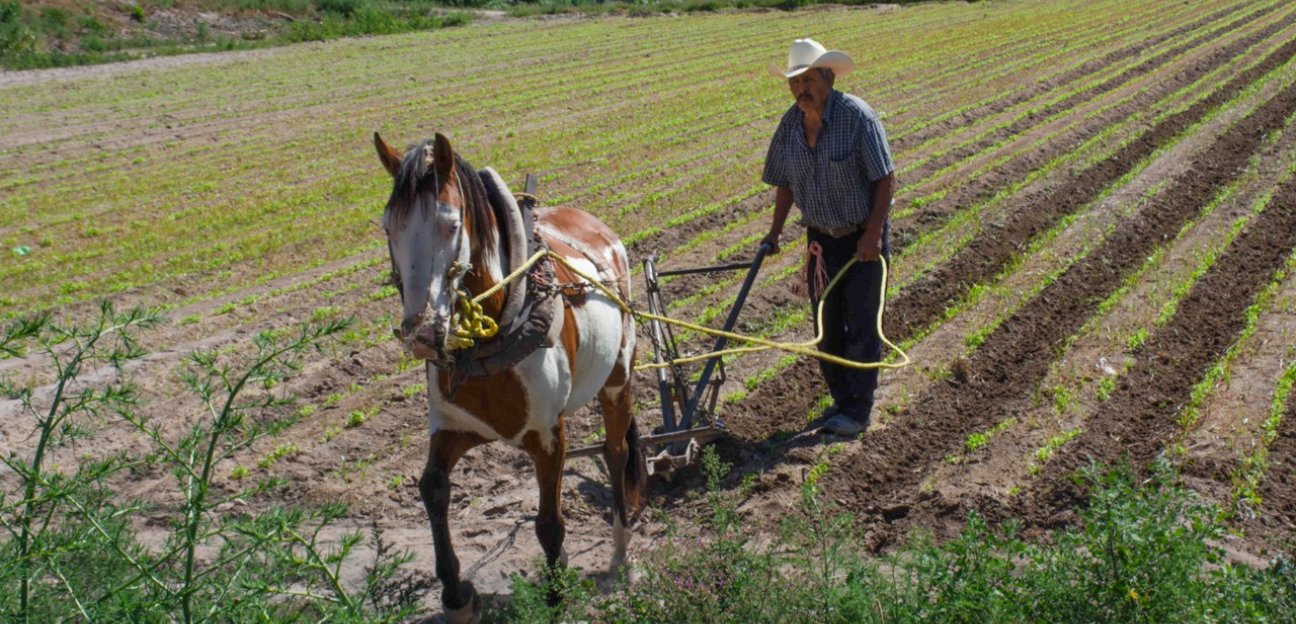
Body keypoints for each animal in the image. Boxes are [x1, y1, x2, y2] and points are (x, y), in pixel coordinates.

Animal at [373, 132, 645, 622]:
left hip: (618, 379)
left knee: (617, 454)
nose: (422, 333)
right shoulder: (453, 426)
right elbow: (433, 488)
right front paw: (457, 596)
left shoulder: (548, 435)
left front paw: (555, 599)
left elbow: (549, 523)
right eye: (389, 229)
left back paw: (621, 557)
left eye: (451, 224)